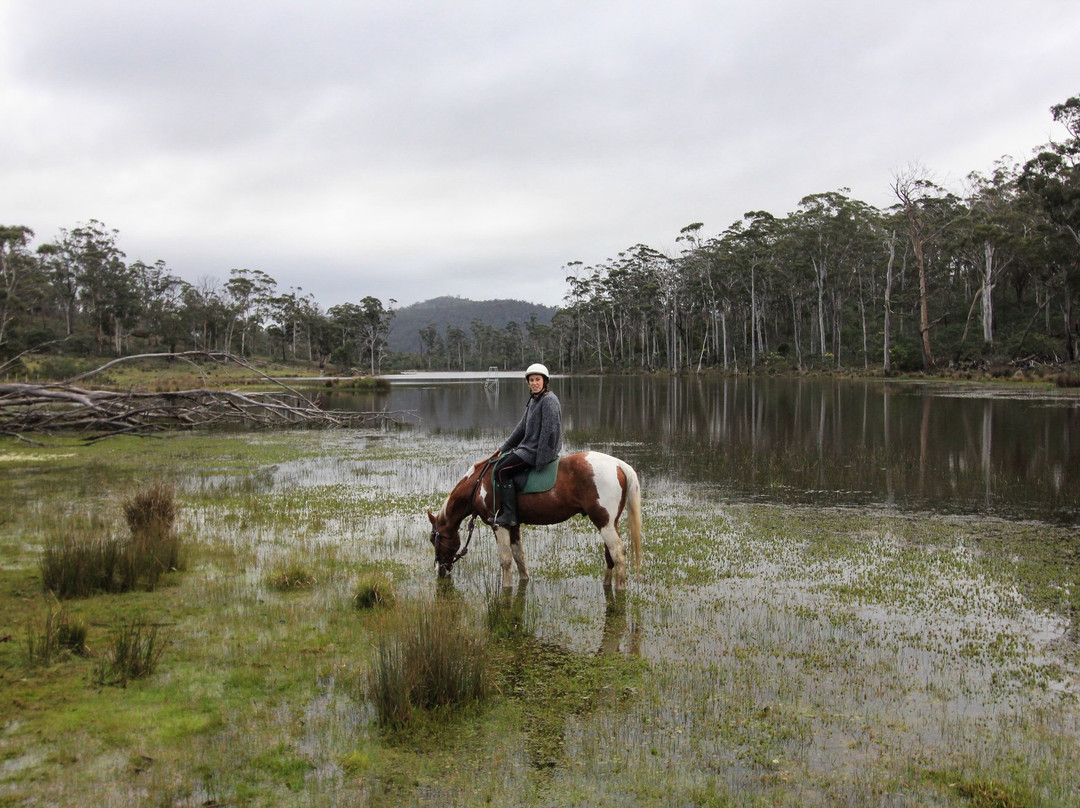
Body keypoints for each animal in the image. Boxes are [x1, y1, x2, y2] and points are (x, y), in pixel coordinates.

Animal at [425, 453, 639, 587]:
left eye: (434, 539)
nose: (439, 570)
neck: (478, 484)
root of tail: (619, 465)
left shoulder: (499, 526)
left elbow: (506, 561)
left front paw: (507, 588)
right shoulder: (513, 526)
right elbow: (520, 557)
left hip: (604, 523)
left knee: (618, 554)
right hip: (610, 524)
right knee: (610, 556)